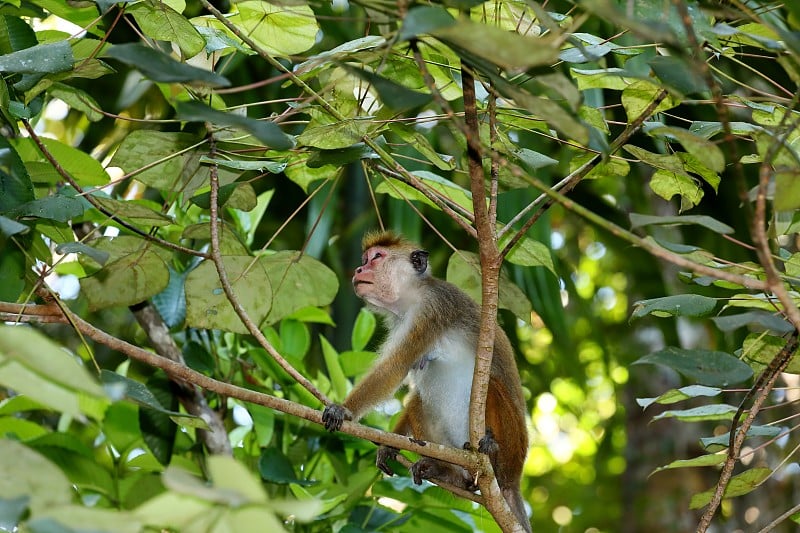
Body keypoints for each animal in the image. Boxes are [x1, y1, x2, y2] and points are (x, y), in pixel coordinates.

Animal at [322, 231, 528, 528]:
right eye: (364, 259)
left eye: (376, 257)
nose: (359, 270)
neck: (412, 295)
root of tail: (515, 480)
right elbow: (409, 383)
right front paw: (389, 444)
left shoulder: (432, 308)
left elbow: (394, 368)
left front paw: (343, 410)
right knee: (419, 400)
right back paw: (450, 474)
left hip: (513, 447)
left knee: (491, 385)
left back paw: (490, 452)